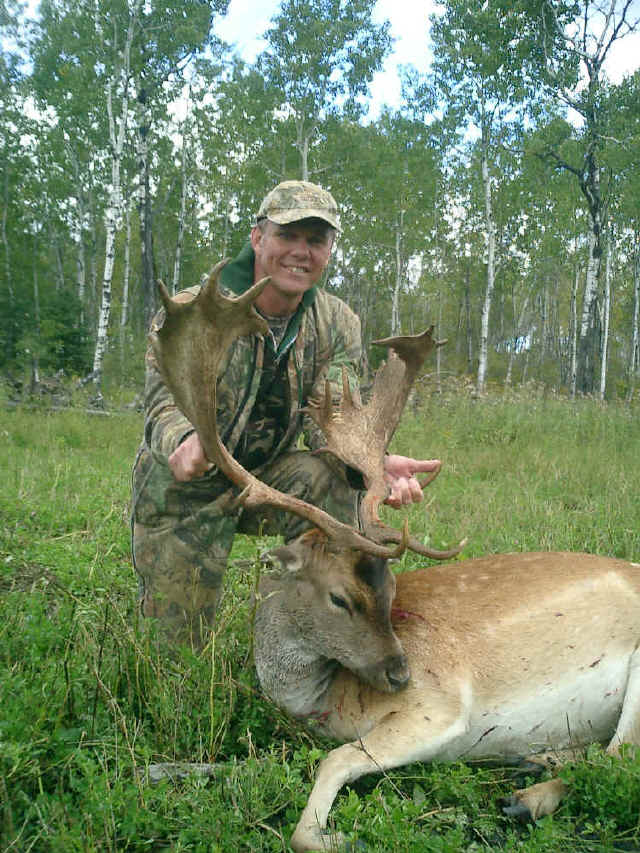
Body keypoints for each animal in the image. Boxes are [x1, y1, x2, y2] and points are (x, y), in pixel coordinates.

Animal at [151, 262, 640, 853]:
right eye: (340, 597)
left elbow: (331, 767)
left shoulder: (439, 706)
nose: (402, 674)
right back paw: (528, 770)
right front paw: (164, 771)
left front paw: (336, 836)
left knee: (619, 757)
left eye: (388, 593)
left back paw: (524, 799)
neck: (321, 701)